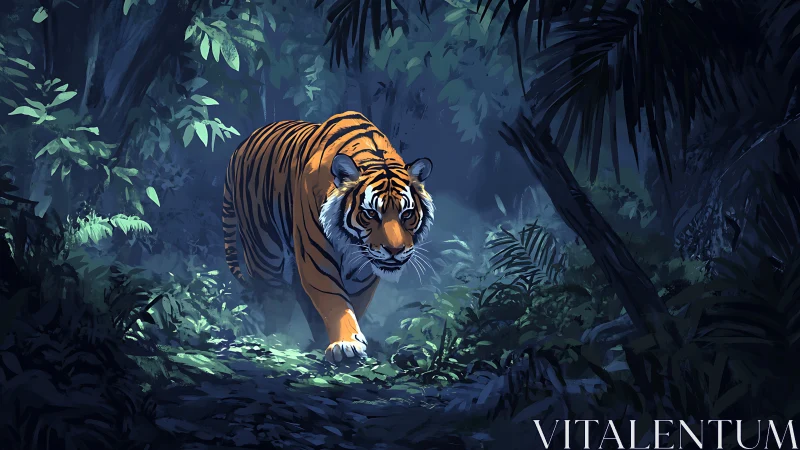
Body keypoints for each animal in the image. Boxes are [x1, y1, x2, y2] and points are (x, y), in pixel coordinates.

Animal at [222, 111, 435, 363]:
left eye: (407, 213)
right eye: (371, 213)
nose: (395, 251)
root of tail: (240, 147)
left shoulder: (363, 273)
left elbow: (353, 304)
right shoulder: (316, 257)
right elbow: (335, 301)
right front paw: (345, 344)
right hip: (263, 248)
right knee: (275, 297)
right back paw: (277, 339)